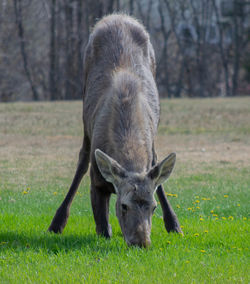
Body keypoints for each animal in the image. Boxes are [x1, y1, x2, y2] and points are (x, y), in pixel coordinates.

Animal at [48, 14, 182, 247]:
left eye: (153, 207)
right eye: (124, 206)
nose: (141, 242)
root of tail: (117, 16)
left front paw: (172, 223)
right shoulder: (96, 179)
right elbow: (102, 226)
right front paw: (106, 232)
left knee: (157, 161)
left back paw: (173, 223)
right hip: (85, 112)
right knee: (82, 159)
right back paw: (57, 222)